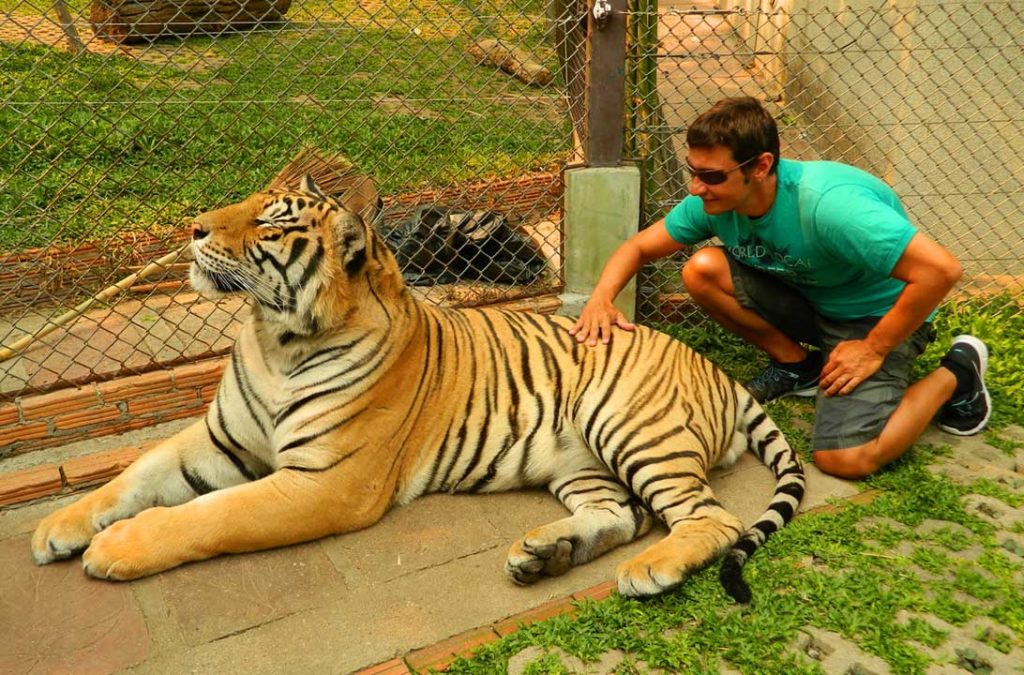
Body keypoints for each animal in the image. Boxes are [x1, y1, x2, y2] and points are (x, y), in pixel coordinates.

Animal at [29, 173, 798, 602]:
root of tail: (717, 370)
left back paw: (649, 570)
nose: (191, 230)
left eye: (270, 220)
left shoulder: (327, 482)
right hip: (582, 463)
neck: (277, 340)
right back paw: (545, 555)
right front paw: (57, 528)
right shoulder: (219, 438)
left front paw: (116, 548)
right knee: (621, 514)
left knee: (710, 519)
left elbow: (209, 514)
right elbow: (133, 474)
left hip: (632, 428)